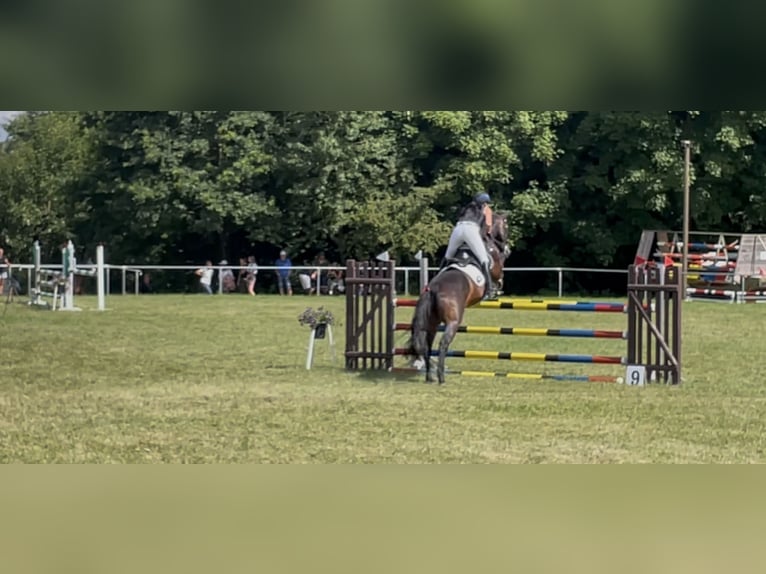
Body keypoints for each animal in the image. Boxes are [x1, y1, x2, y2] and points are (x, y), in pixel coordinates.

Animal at [406, 212, 511, 384]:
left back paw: (429, 376)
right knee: (443, 344)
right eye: (506, 225)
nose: (507, 248)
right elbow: (499, 272)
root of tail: (433, 289)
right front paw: (497, 288)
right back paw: (441, 377)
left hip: (432, 323)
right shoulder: (495, 266)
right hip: (453, 322)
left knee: (427, 345)